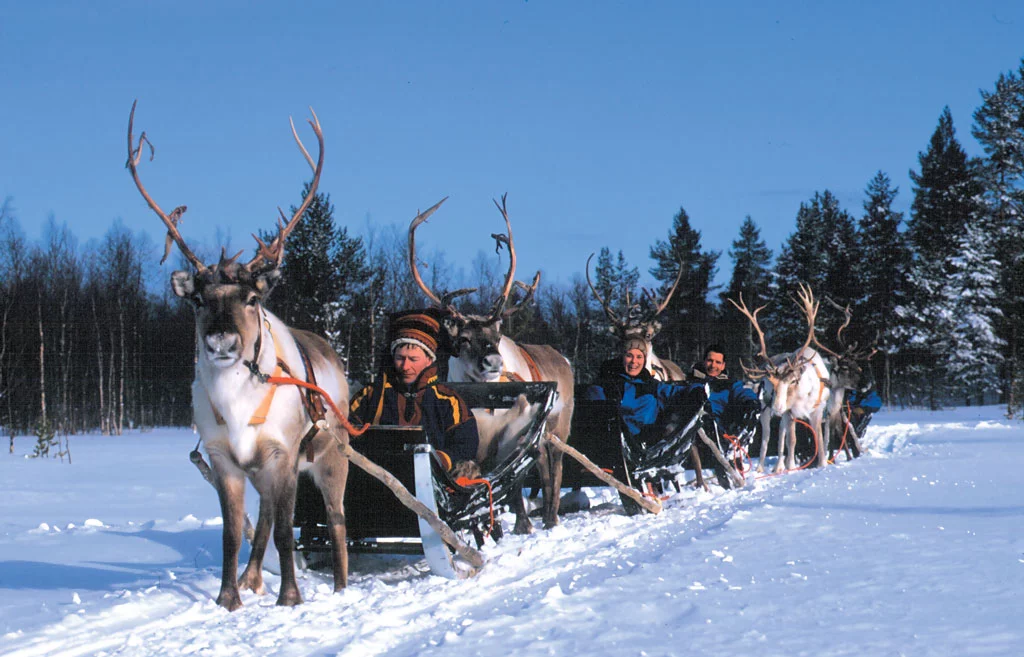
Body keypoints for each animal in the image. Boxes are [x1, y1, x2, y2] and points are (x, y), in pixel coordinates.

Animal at [126, 101, 354, 610]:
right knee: (265, 517)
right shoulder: (225, 459)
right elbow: (232, 533)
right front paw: (227, 597)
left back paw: (340, 587)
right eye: (197, 299)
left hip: (332, 456)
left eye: (251, 299)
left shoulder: (284, 455)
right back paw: (252, 577)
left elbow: (289, 535)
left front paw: (290, 597)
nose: (221, 342)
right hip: (262, 470)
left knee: (337, 522)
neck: (235, 407)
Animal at [408, 195, 575, 533]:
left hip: (560, 425)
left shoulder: (517, 432)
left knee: (556, 466)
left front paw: (522, 525)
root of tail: (562, 358)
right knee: (544, 467)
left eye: (496, 336)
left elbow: (514, 480)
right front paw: (513, 523)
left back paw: (551, 517)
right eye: (463, 339)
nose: (494, 360)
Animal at [729, 283, 831, 473]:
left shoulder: (817, 409)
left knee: (781, 435)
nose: (777, 407)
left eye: (793, 381)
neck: (802, 396)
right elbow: (792, 441)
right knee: (767, 438)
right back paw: (762, 468)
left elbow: (819, 440)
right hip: (765, 411)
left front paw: (822, 464)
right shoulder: (789, 412)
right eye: (772, 384)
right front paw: (791, 467)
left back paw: (778, 466)